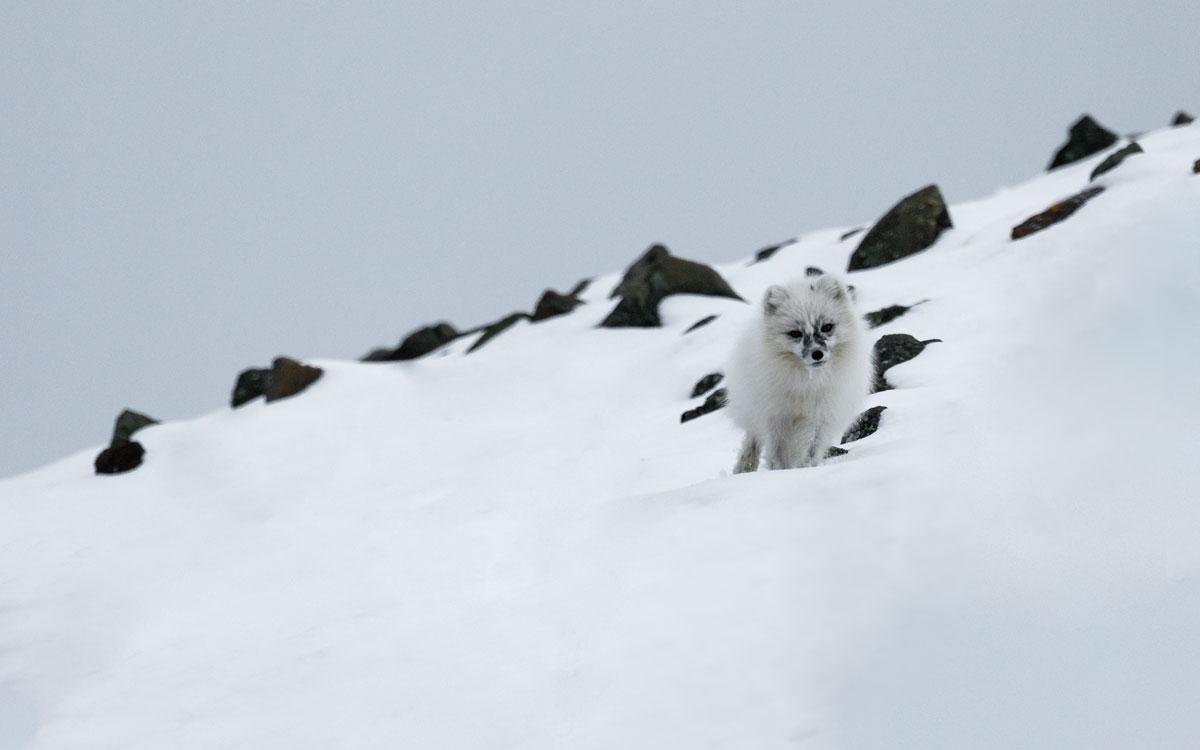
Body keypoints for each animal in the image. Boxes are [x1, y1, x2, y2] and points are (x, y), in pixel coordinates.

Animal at [726, 273, 873, 472]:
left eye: (827, 327)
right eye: (795, 333)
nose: (817, 354)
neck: (805, 384)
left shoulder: (820, 417)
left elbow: (811, 449)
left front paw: (805, 469)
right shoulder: (776, 418)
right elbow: (777, 454)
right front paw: (781, 472)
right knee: (753, 440)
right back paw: (744, 468)